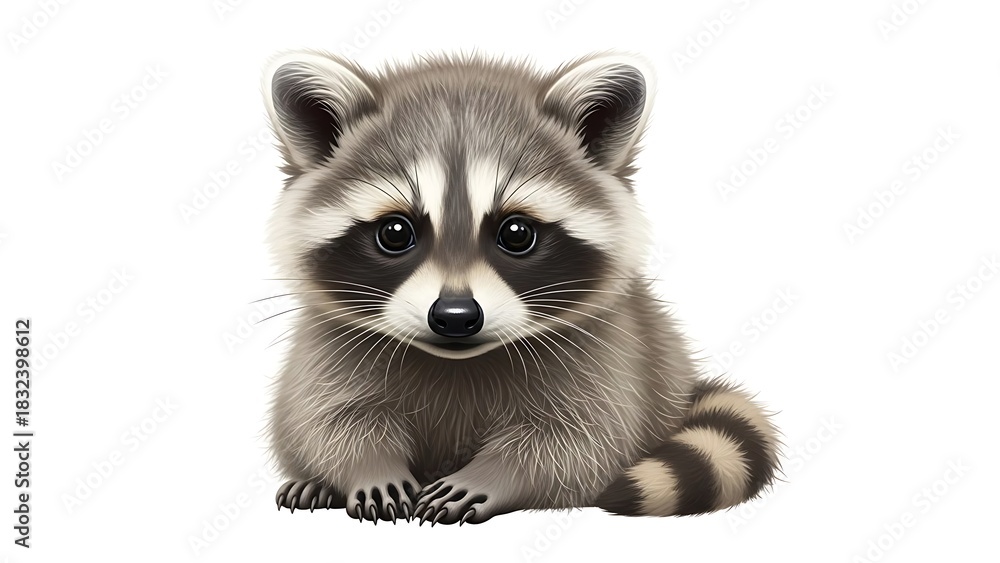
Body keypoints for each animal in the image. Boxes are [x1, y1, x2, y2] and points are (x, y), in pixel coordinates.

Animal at [263, 50, 780, 525]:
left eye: (516, 233)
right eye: (395, 232)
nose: (455, 316)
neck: (458, 363)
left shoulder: (604, 356)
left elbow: (574, 442)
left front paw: (492, 475)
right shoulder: (333, 350)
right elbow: (329, 419)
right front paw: (368, 469)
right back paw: (313, 484)